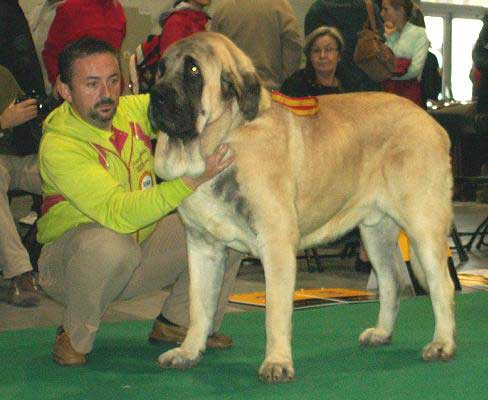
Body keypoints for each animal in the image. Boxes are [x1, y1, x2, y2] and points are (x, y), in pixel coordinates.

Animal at [148, 32, 454, 382]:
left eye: (194, 71)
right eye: (160, 69)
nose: (155, 95)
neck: (223, 139)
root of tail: (431, 122)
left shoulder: (277, 245)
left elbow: (275, 312)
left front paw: (277, 362)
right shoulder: (202, 246)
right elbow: (198, 306)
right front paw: (188, 351)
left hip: (424, 226)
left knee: (442, 285)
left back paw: (442, 344)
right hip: (375, 231)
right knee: (391, 281)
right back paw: (382, 333)